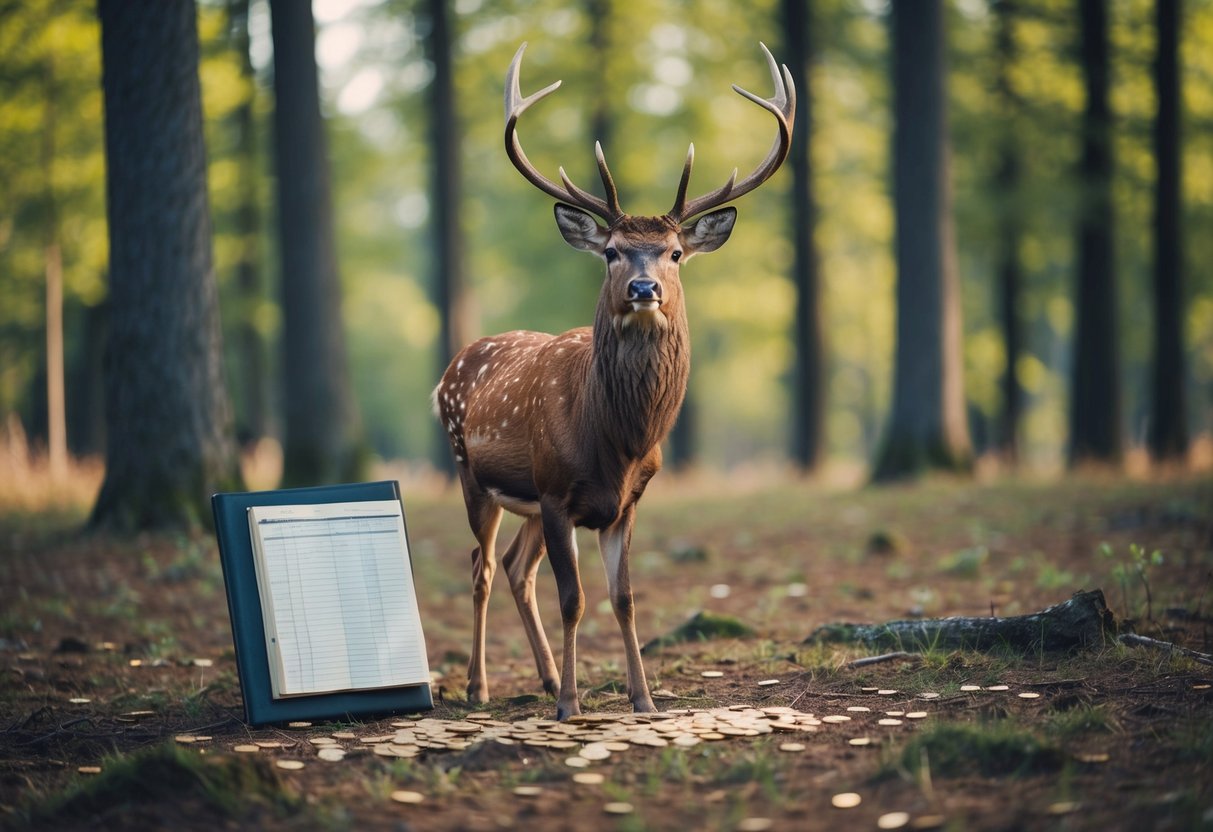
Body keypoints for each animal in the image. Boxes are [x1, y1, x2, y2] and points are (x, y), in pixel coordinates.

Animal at [433, 42, 794, 720]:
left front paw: (642, 699)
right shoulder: (556, 493)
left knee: (516, 569)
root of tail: (453, 365)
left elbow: (624, 598)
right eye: (610, 251)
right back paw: (479, 686)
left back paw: (545, 677)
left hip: (523, 500)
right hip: (471, 471)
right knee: (482, 567)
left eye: (675, 253)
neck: (616, 442)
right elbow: (574, 600)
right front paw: (573, 705)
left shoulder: (625, 503)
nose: (644, 288)